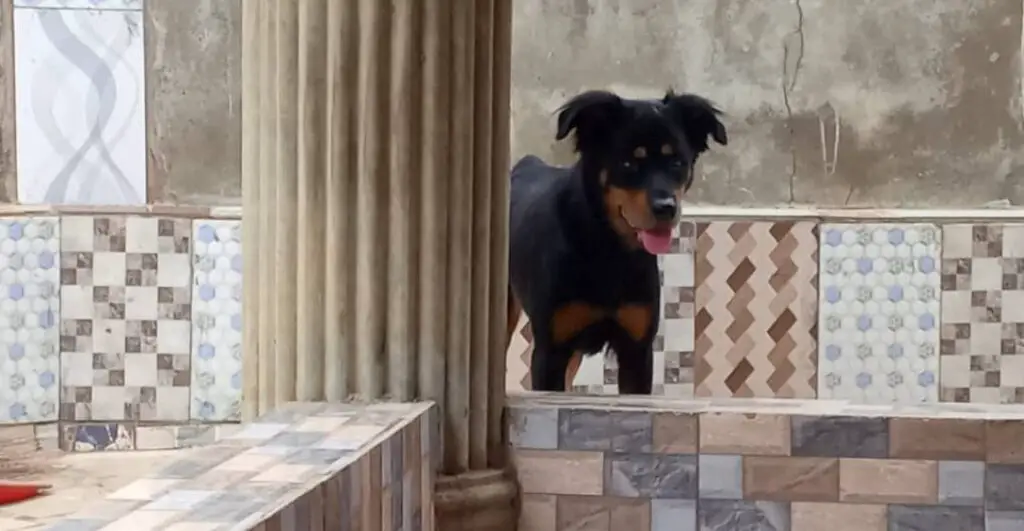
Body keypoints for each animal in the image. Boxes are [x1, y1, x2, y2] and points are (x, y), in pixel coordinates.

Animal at [507, 88, 724, 394]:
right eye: (628, 163)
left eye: (677, 162)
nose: (666, 208)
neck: (607, 248)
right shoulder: (551, 351)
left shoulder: (636, 350)